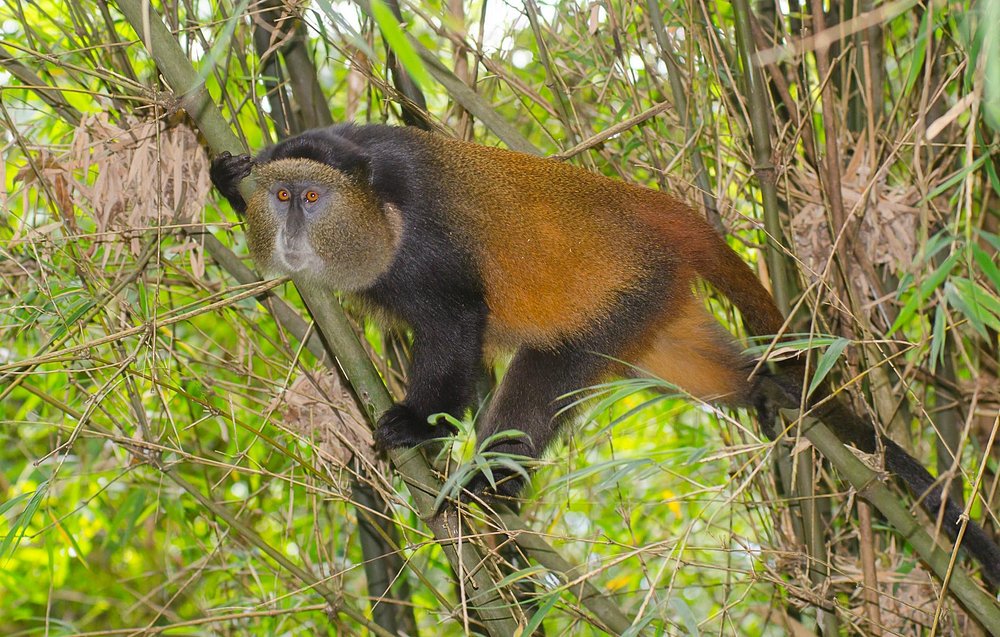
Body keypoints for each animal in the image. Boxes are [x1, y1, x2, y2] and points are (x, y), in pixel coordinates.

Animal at [211, 123, 1000, 587]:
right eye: (280, 195)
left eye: (311, 199)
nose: (288, 227)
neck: (375, 201)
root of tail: (656, 209)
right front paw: (226, 180)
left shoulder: (429, 255)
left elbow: (460, 338)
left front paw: (415, 424)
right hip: (655, 312)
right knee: (719, 374)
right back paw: (769, 390)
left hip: (622, 297)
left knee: (539, 383)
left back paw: (488, 495)